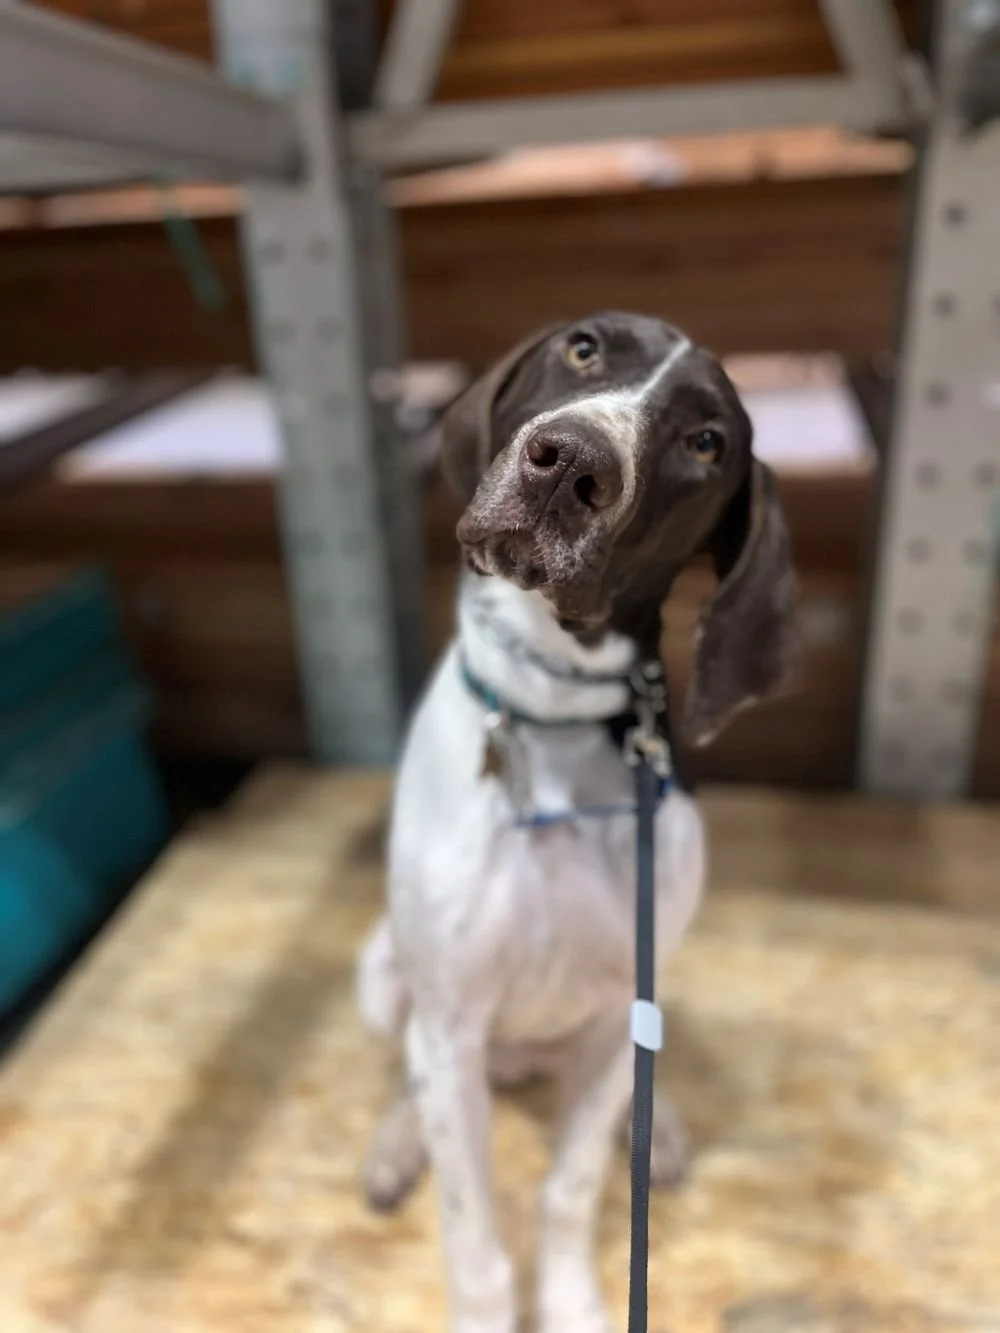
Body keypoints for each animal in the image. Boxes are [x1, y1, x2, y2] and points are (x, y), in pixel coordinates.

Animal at [357, 312, 797, 1333]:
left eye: (706, 441)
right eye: (585, 348)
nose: (571, 464)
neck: (551, 716)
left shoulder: (613, 1020)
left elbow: (570, 1187)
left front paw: (571, 1304)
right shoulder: (452, 1019)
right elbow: (473, 1231)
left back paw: (659, 1129)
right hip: (385, 976)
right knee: (407, 1068)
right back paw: (398, 1140)